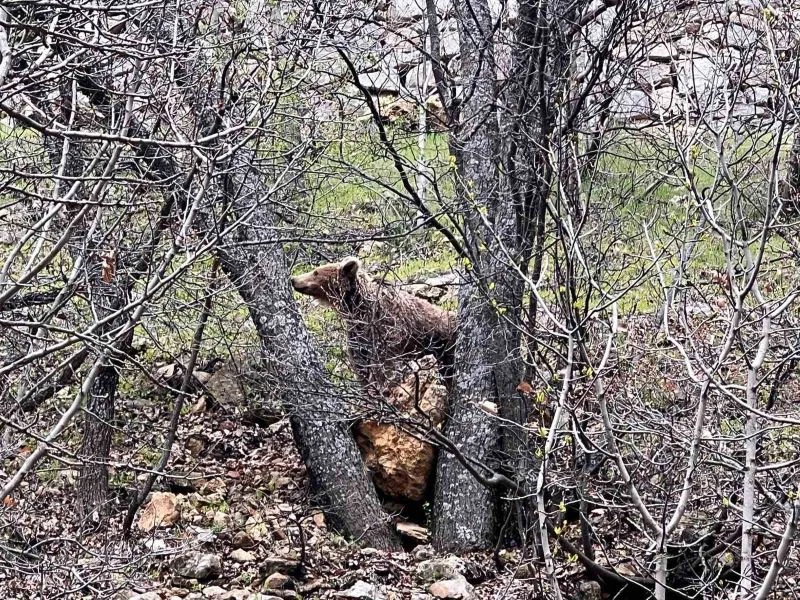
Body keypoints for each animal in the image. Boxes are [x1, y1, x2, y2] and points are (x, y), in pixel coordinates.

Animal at [292, 254, 456, 392]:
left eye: (315, 272)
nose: (293, 279)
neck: (358, 309)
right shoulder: (357, 334)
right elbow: (360, 364)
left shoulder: (385, 329)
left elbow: (383, 364)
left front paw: (382, 386)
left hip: (442, 345)